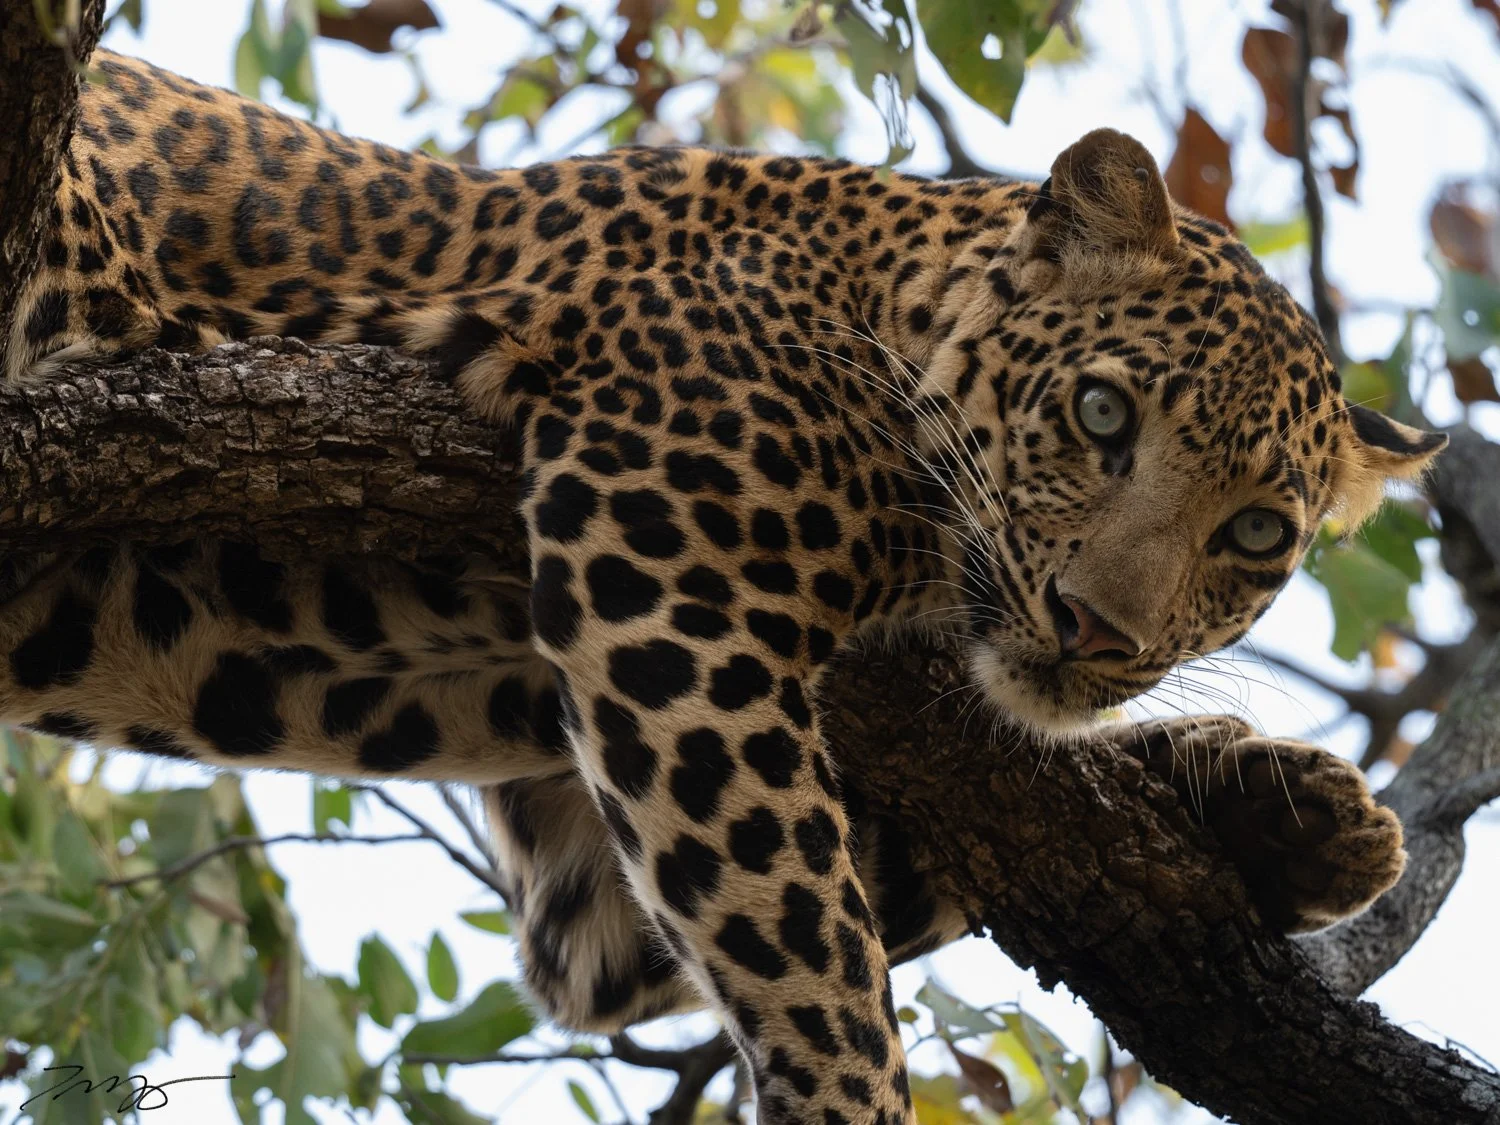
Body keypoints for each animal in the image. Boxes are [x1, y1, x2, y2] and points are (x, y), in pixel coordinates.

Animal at [0, 47, 1447, 1125]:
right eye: (1101, 415)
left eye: (1254, 533)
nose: (1101, 632)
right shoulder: (666, 552)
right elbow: (810, 931)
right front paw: (850, 1100)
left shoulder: (577, 872)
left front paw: (1292, 818)